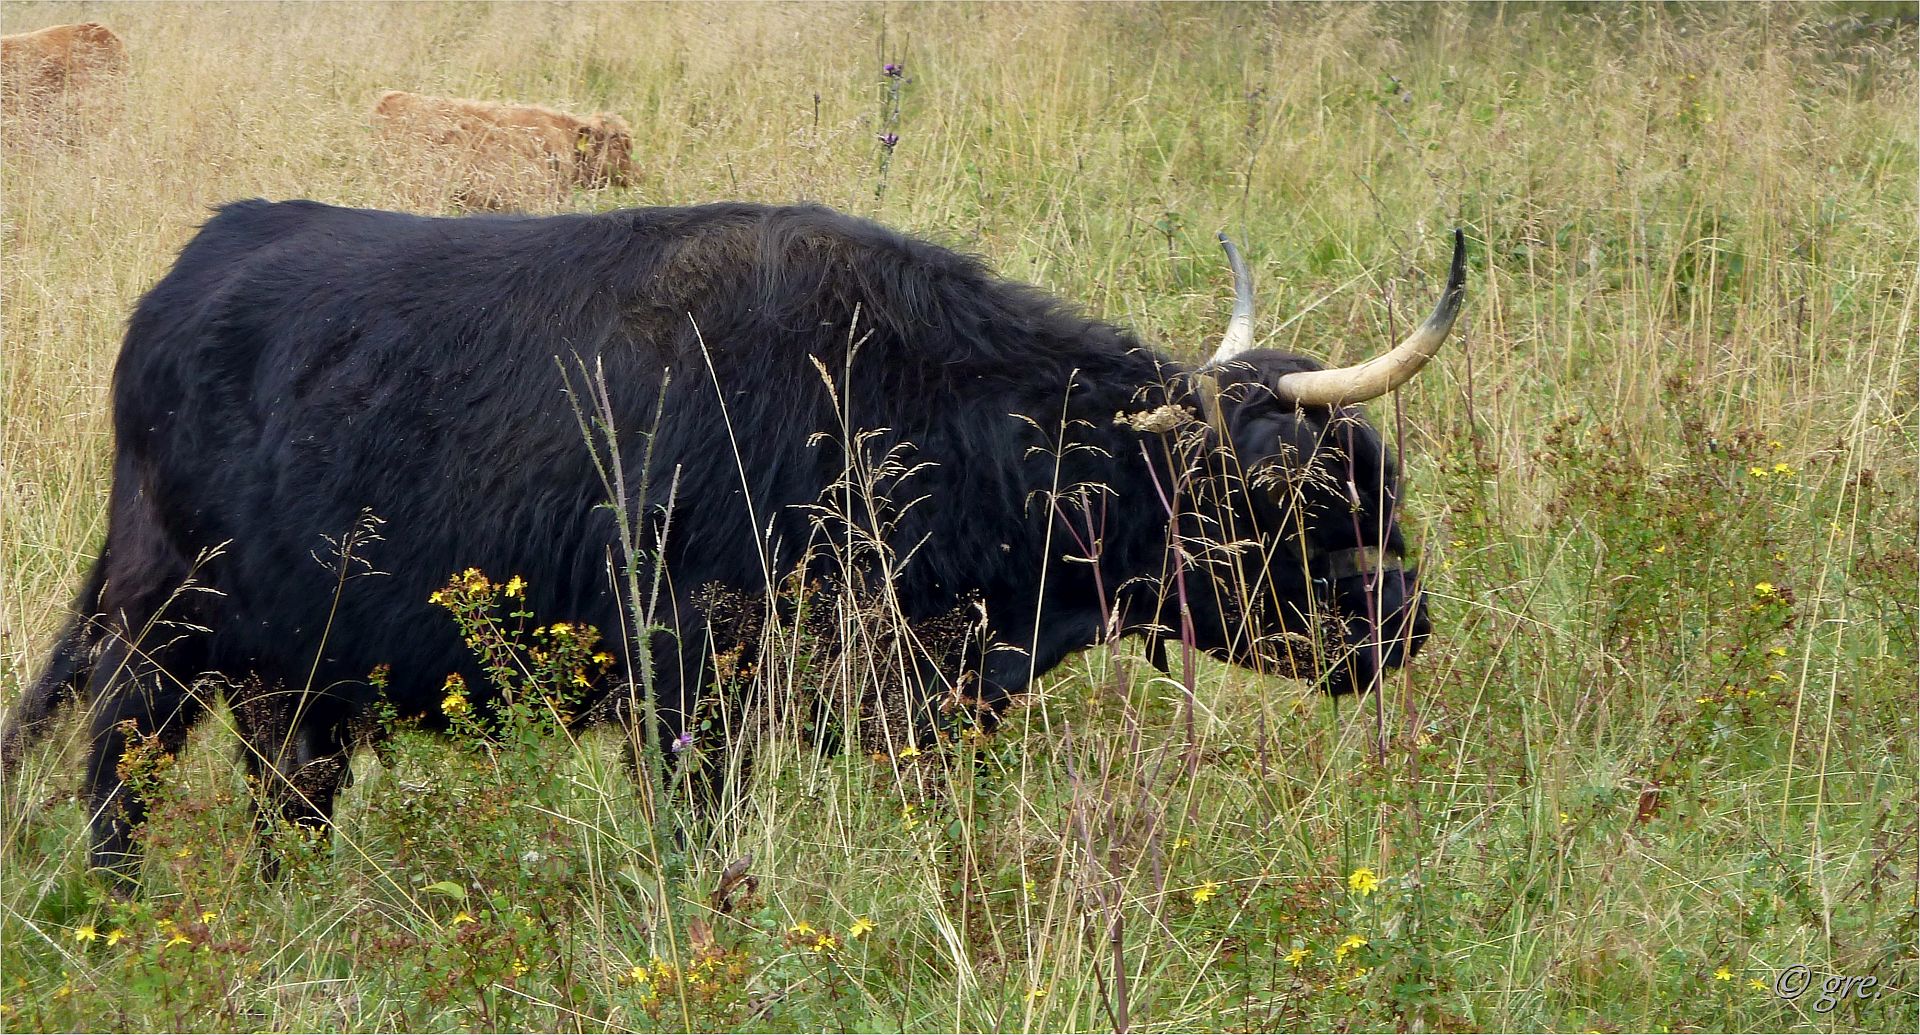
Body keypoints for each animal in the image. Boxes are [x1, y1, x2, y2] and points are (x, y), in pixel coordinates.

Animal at [3, 202, 1466, 883]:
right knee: (115, 775)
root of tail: (202, 264)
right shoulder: (690, 697)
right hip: (159, 634)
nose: (1406, 617)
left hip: (297, 686)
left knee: (281, 801)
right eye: (1295, 494)